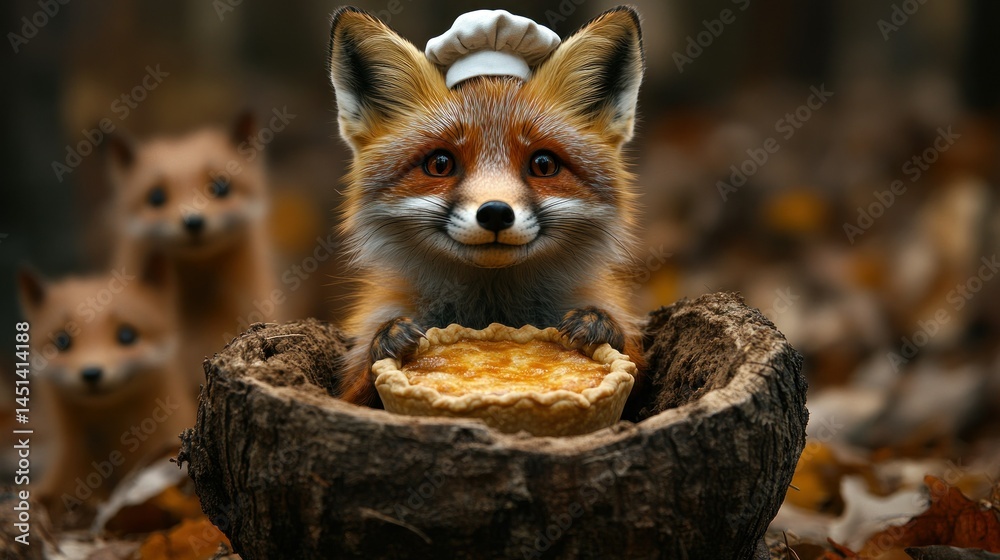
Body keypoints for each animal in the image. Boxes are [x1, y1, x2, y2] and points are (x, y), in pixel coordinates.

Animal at [328, 6, 647, 408]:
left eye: (544, 164)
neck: (491, 309)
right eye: (440, 164)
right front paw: (388, 338)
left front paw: (599, 324)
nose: (495, 212)